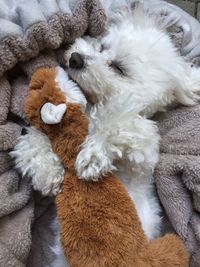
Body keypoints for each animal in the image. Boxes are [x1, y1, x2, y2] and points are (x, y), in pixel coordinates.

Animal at [11, 6, 200, 241]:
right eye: (102, 47)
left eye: (119, 68)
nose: (76, 58)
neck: (94, 106)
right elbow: (33, 139)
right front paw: (48, 171)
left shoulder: (143, 154)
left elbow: (116, 122)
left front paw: (93, 154)